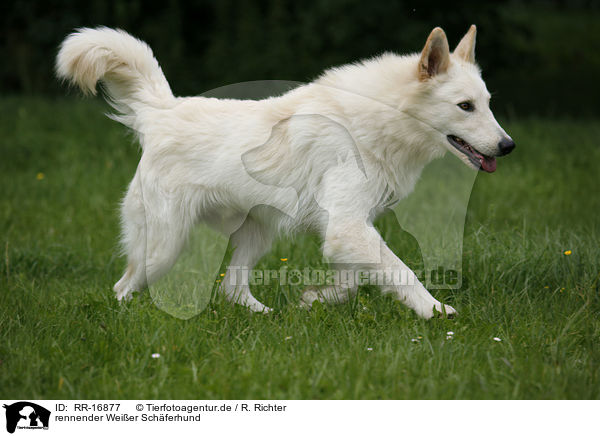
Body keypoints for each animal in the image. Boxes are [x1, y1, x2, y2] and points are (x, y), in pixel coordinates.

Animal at [57, 24, 516, 316]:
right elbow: (401, 271)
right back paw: (126, 318)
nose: (508, 146)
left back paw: (266, 316)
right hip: (165, 246)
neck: (376, 122)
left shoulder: (346, 229)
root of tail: (164, 112)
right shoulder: (348, 228)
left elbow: (352, 283)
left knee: (232, 288)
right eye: (465, 106)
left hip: (257, 234)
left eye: (488, 103)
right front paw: (435, 311)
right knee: (124, 286)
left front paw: (314, 300)